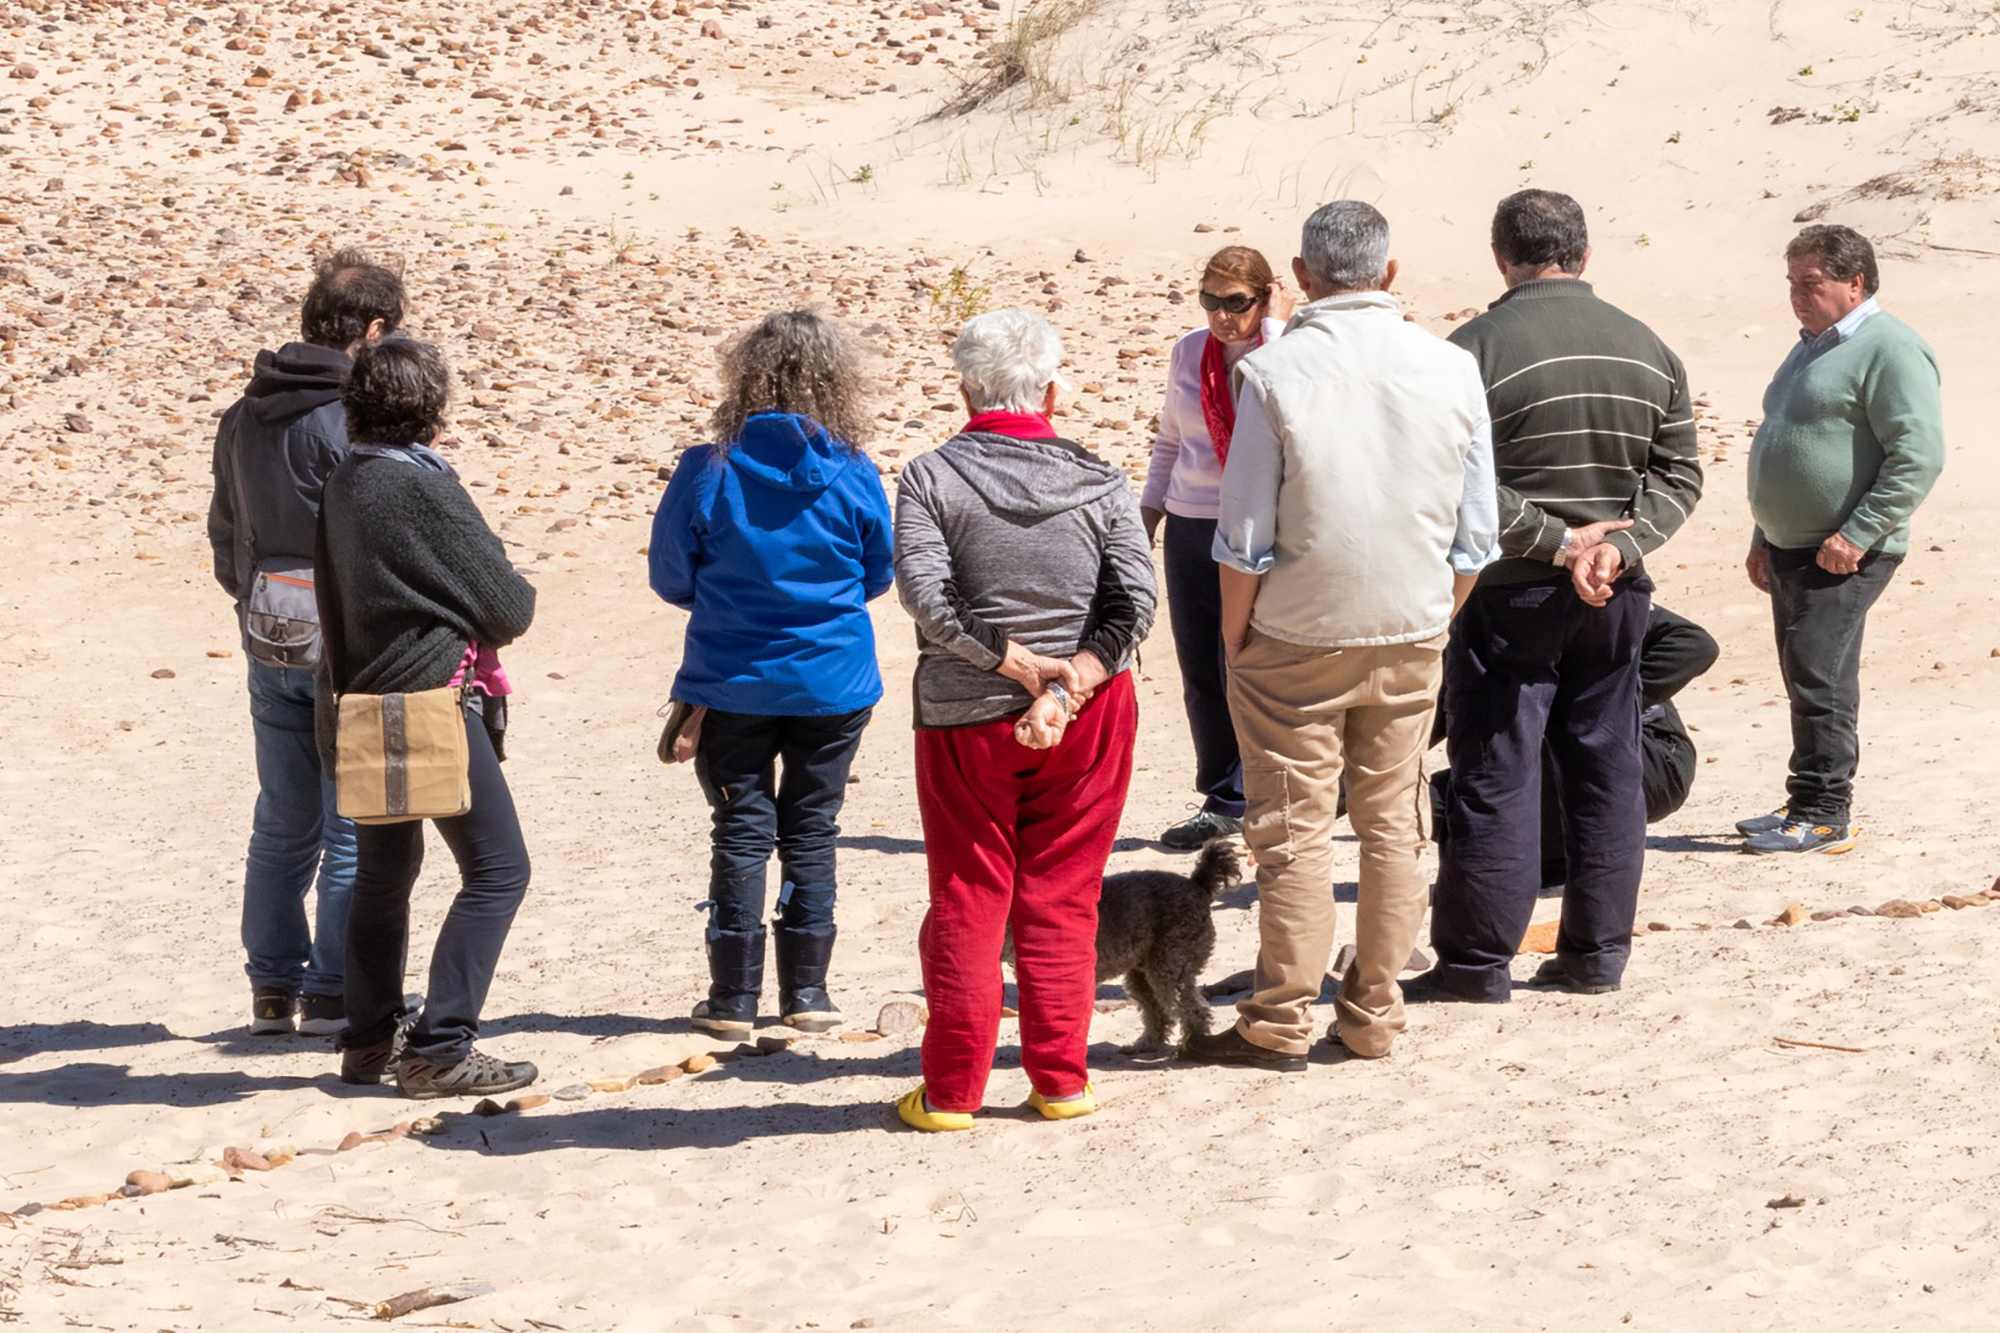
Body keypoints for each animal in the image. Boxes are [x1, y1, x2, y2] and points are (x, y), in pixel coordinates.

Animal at [1005, 840, 1240, 1052]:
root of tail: (1198, 884)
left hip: (1172, 963)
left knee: (1192, 1008)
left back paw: (1191, 1046)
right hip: (1142, 973)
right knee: (1157, 1010)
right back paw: (1146, 1044)